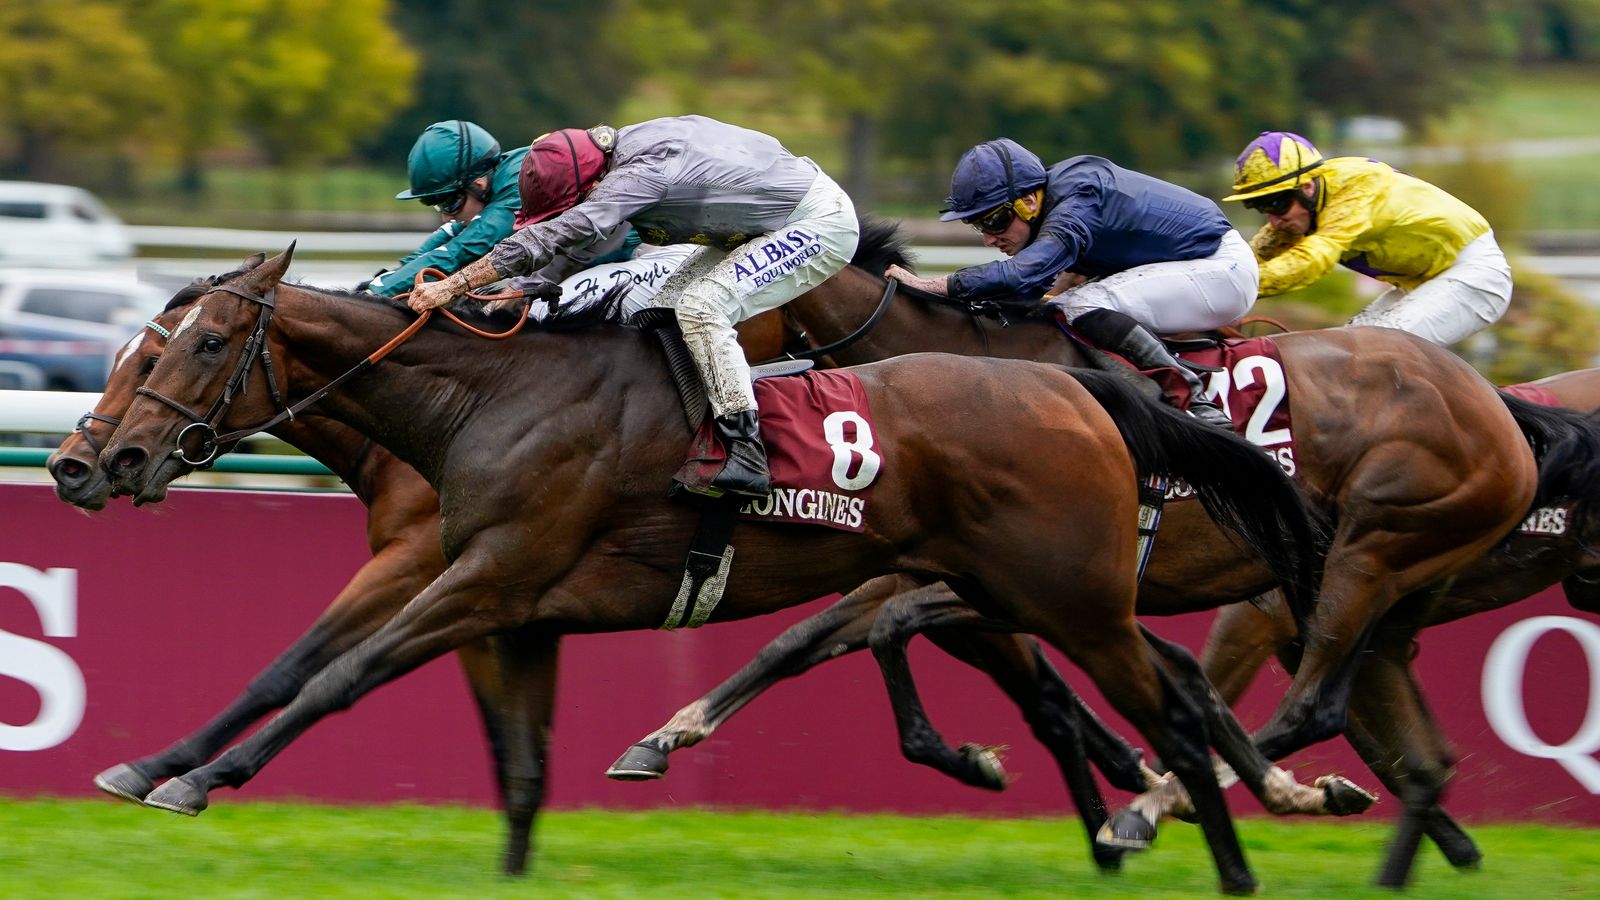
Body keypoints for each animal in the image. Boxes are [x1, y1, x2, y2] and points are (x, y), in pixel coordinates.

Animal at [87, 243, 1324, 890]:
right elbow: (515, 765)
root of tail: (1079, 389)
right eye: (138, 347)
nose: (100, 461)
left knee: (1171, 708)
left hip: (1067, 597)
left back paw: (1225, 848)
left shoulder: (480, 577)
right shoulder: (516, 609)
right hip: (997, 595)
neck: (494, 395)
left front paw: (193, 776)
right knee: (1131, 695)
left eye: (201, 344)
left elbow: (337, 675)